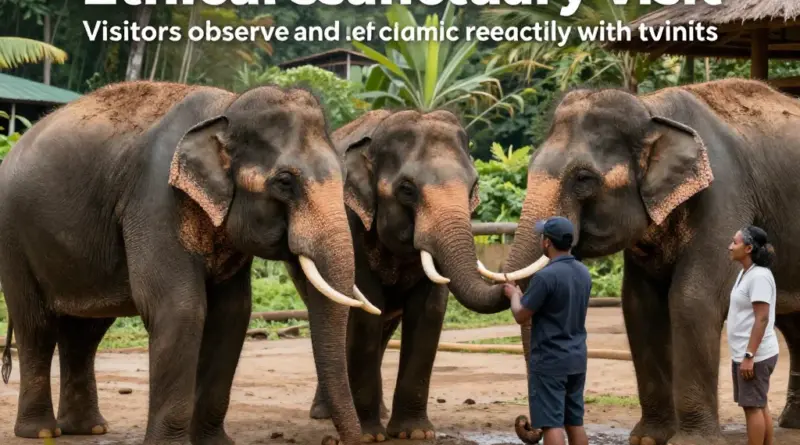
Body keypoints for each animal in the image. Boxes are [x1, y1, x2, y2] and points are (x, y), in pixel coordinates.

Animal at [0, 80, 375, 445]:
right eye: (285, 181)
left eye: (344, 177)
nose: (338, 441)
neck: (227, 108)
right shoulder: (154, 199)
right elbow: (180, 308)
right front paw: (168, 443)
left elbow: (232, 314)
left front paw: (214, 443)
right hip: (13, 241)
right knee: (36, 326)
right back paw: (42, 432)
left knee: (85, 332)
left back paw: (87, 429)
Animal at [304, 109, 508, 441]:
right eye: (407, 190)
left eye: (473, 187)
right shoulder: (351, 223)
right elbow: (366, 311)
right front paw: (370, 436)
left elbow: (430, 310)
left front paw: (415, 433)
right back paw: (326, 414)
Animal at [472, 78, 800, 445]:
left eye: (583, 178)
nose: (525, 423)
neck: (652, 110)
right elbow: (639, 305)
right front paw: (648, 439)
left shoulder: (725, 197)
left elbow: (693, 299)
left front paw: (690, 442)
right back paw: (792, 422)